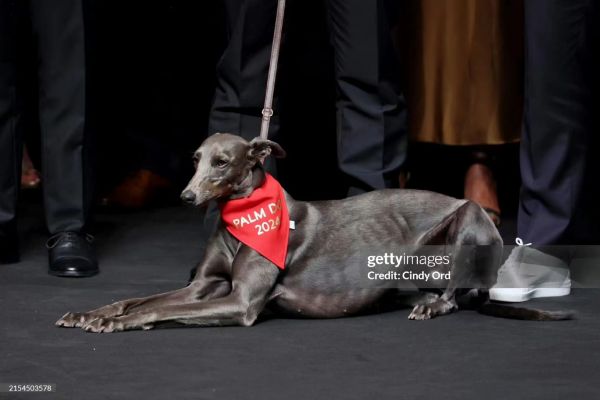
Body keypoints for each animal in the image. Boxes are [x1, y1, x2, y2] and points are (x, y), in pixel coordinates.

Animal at [56, 133, 572, 332]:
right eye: (196, 160)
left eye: (222, 162)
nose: (185, 196)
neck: (245, 220)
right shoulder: (204, 286)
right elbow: (141, 299)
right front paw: (92, 313)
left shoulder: (241, 302)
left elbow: (161, 310)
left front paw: (121, 322)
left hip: (469, 218)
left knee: (454, 293)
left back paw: (431, 304)